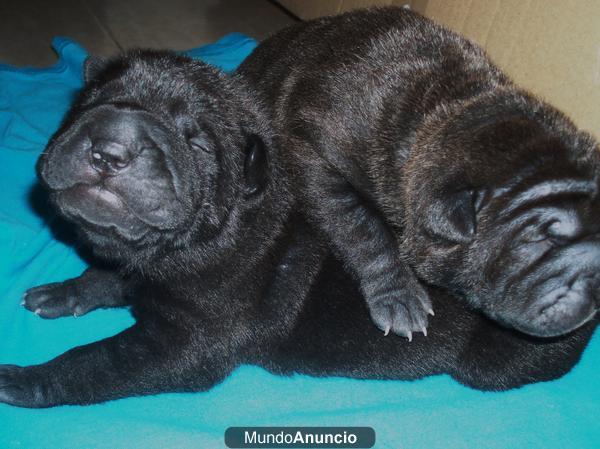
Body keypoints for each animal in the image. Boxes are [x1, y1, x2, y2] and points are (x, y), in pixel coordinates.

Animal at [0, 50, 596, 408]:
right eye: (92, 104)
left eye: (197, 144)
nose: (110, 146)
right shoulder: (137, 269)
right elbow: (104, 276)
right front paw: (62, 291)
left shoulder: (188, 343)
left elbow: (95, 362)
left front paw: (24, 381)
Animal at [239, 7, 600, 338]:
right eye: (543, 237)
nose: (596, 281)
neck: (448, 107)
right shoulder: (310, 152)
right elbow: (360, 226)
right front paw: (400, 299)